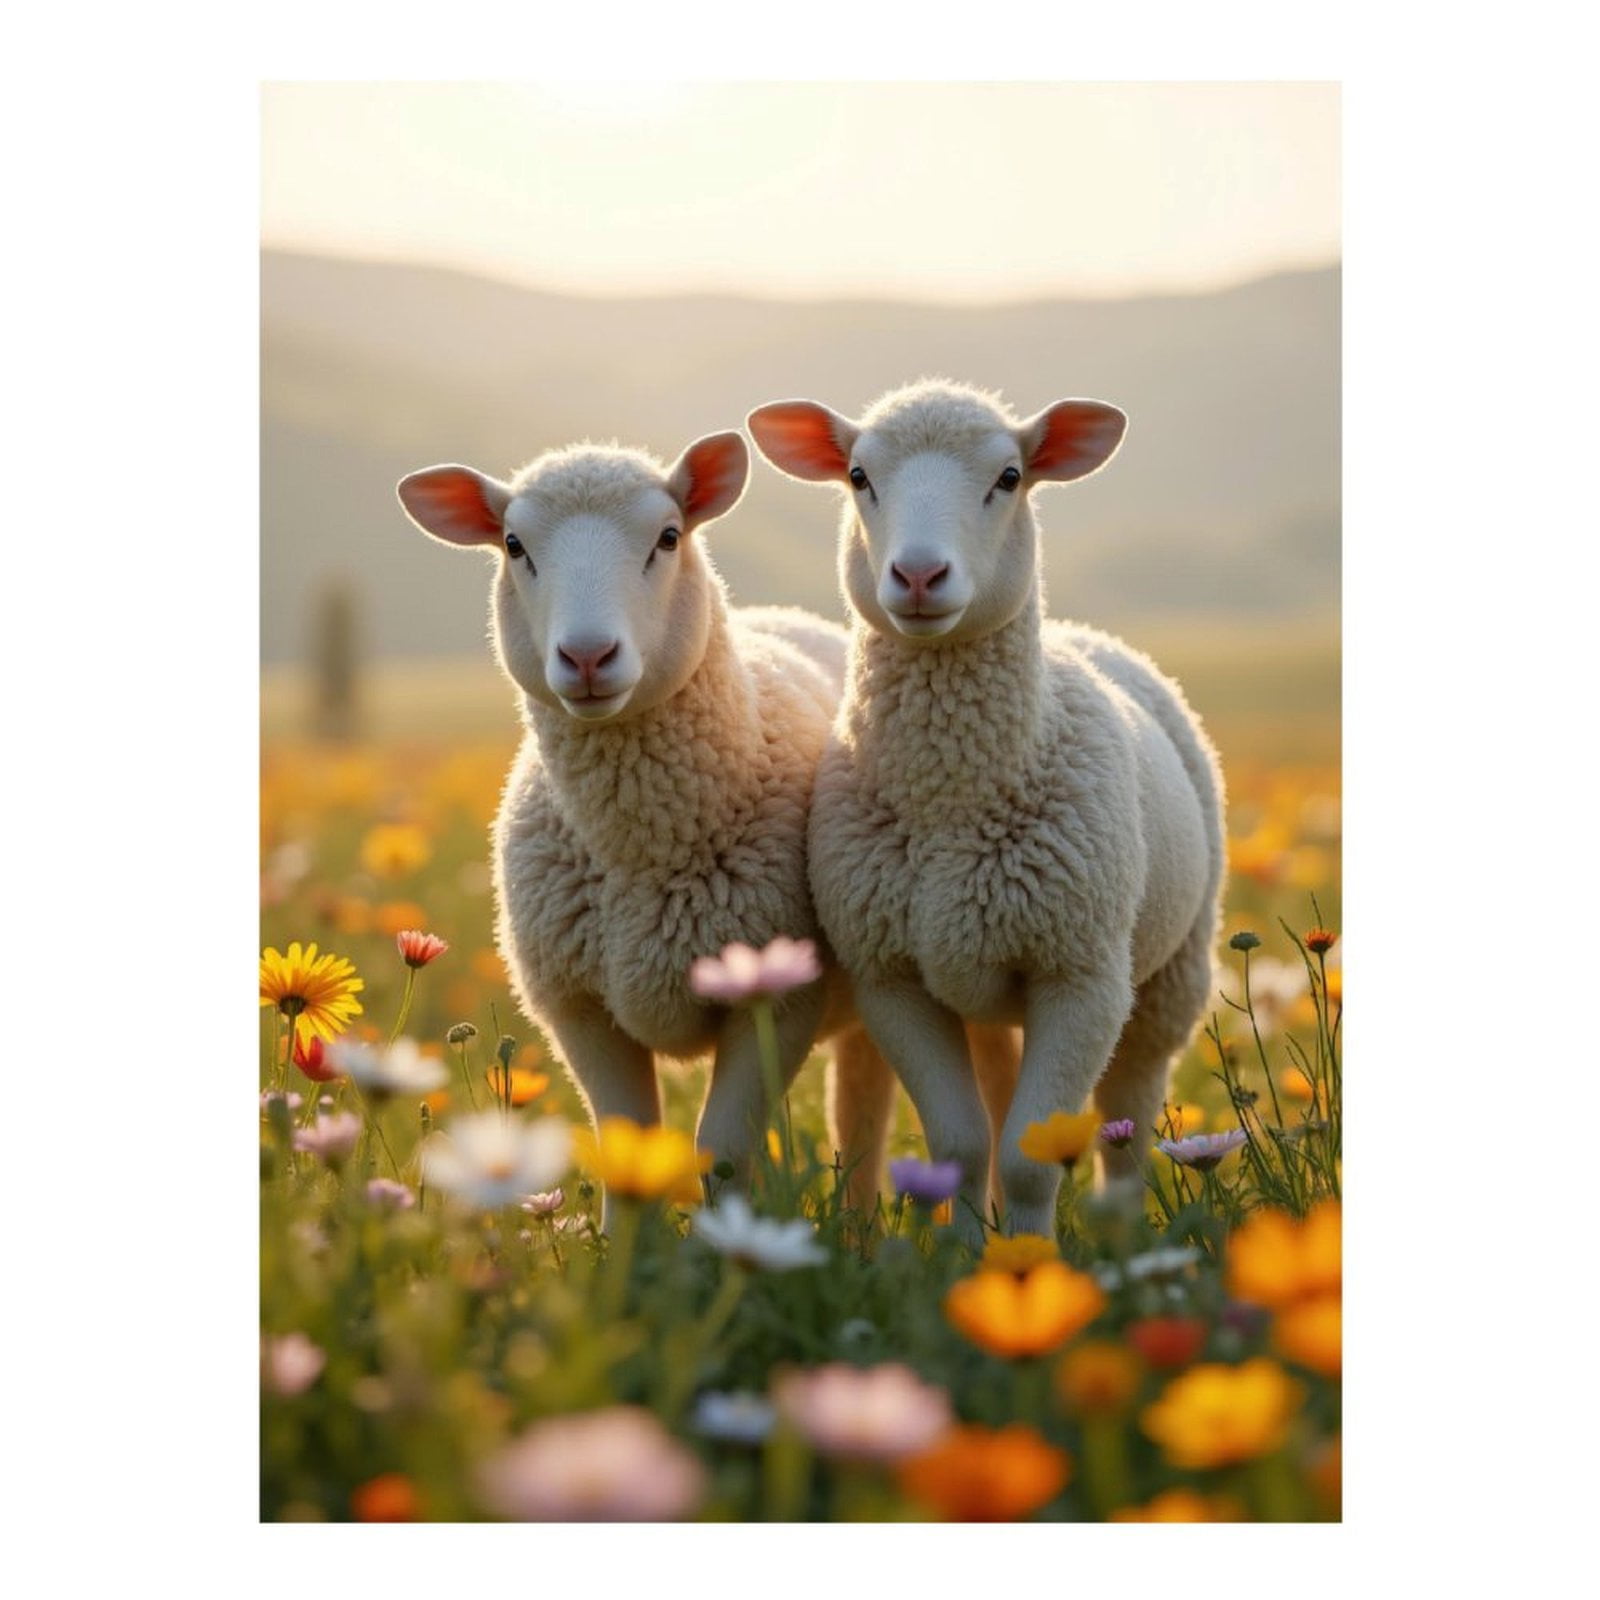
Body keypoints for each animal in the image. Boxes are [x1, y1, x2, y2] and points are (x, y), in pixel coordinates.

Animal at [396, 432, 888, 1220]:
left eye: (668, 537)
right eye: (513, 545)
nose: (588, 656)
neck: (642, 856)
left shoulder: (780, 1002)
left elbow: (724, 1152)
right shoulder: (579, 1009)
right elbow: (625, 1146)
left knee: (863, 1116)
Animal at [747, 380, 1226, 1242]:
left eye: (1010, 477)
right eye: (859, 476)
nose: (918, 574)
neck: (951, 805)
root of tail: (1085, 633)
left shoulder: (1082, 976)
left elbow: (1037, 1154)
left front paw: (1029, 1259)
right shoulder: (893, 976)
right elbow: (963, 1145)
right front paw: (965, 1257)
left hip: (1168, 972)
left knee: (1131, 1113)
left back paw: (1122, 1235)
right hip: (985, 984)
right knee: (1006, 1100)